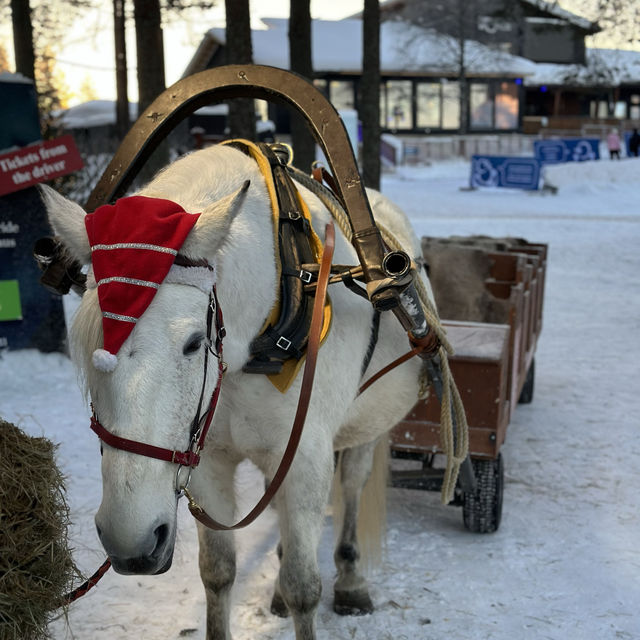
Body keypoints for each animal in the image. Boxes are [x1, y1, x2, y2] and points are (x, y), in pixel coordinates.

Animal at [42, 145, 436, 640]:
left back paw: (350, 578)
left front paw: (309, 588)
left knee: (352, 482)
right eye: (88, 349)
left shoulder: (306, 460)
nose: (130, 539)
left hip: (366, 426)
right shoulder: (205, 459)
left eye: (194, 342)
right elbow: (217, 572)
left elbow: (304, 586)